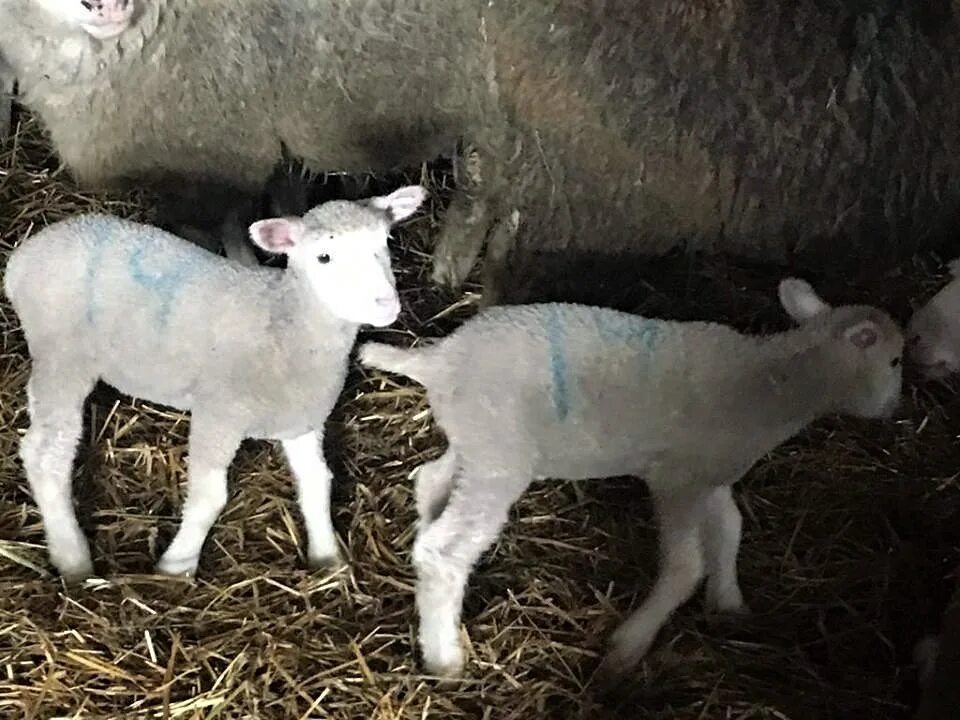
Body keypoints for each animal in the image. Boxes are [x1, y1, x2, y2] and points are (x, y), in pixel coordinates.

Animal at [2, 184, 432, 580]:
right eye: (323, 257)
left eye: (385, 242)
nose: (386, 304)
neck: (284, 322)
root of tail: (25, 255)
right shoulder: (219, 413)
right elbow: (211, 496)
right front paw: (176, 567)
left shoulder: (300, 418)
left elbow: (317, 482)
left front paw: (327, 559)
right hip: (62, 356)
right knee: (46, 453)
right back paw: (73, 558)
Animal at [358, 278, 900, 676]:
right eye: (895, 360)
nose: (895, 408)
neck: (776, 382)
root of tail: (438, 357)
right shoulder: (678, 480)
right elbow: (685, 566)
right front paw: (629, 647)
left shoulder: (711, 474)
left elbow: (730, 529)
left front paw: (729, 601)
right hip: (499, 455)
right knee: (445, 550)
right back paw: (444, 657)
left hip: (478, 440)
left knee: (430, 481)